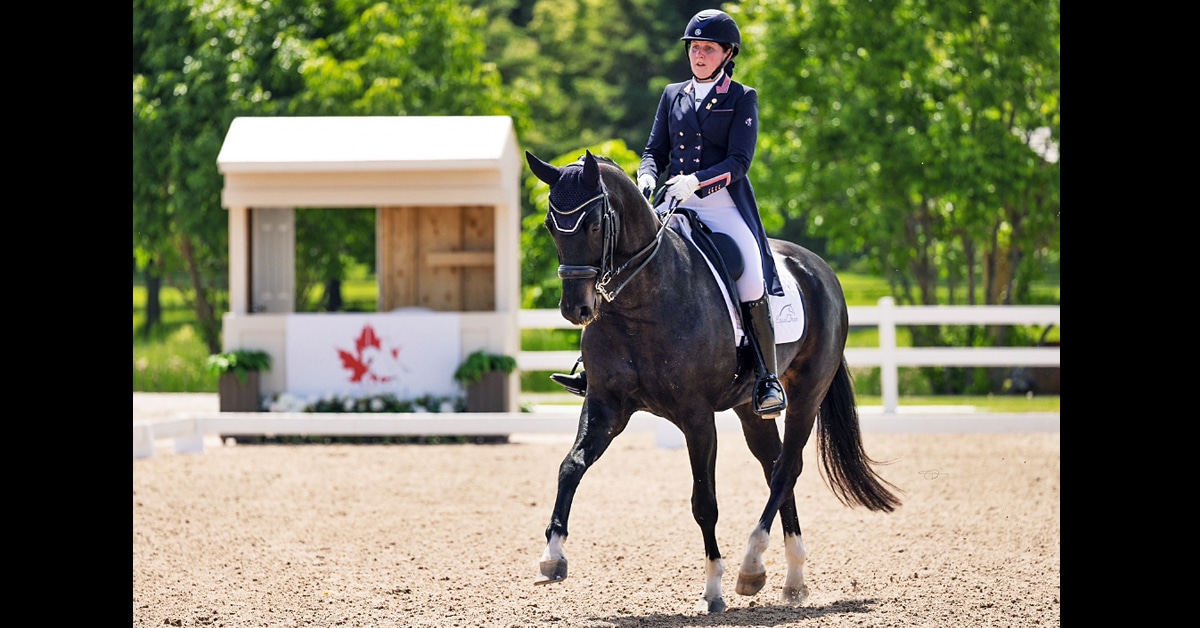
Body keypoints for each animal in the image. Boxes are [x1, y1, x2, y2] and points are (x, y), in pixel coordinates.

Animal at [526, 150, 902, 612]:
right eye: (550, 225)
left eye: (595, 225)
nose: (575, 309)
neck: (641, 302)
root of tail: (818, 268)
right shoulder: (605, 405)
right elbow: (570, 467)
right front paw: (552, 557)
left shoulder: (696, 416)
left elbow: (704, 501)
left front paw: (713, 588)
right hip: (750, 409)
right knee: (774, 465)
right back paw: (793, 578)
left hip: (806, 395)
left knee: (786, 469)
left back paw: (752, 565)